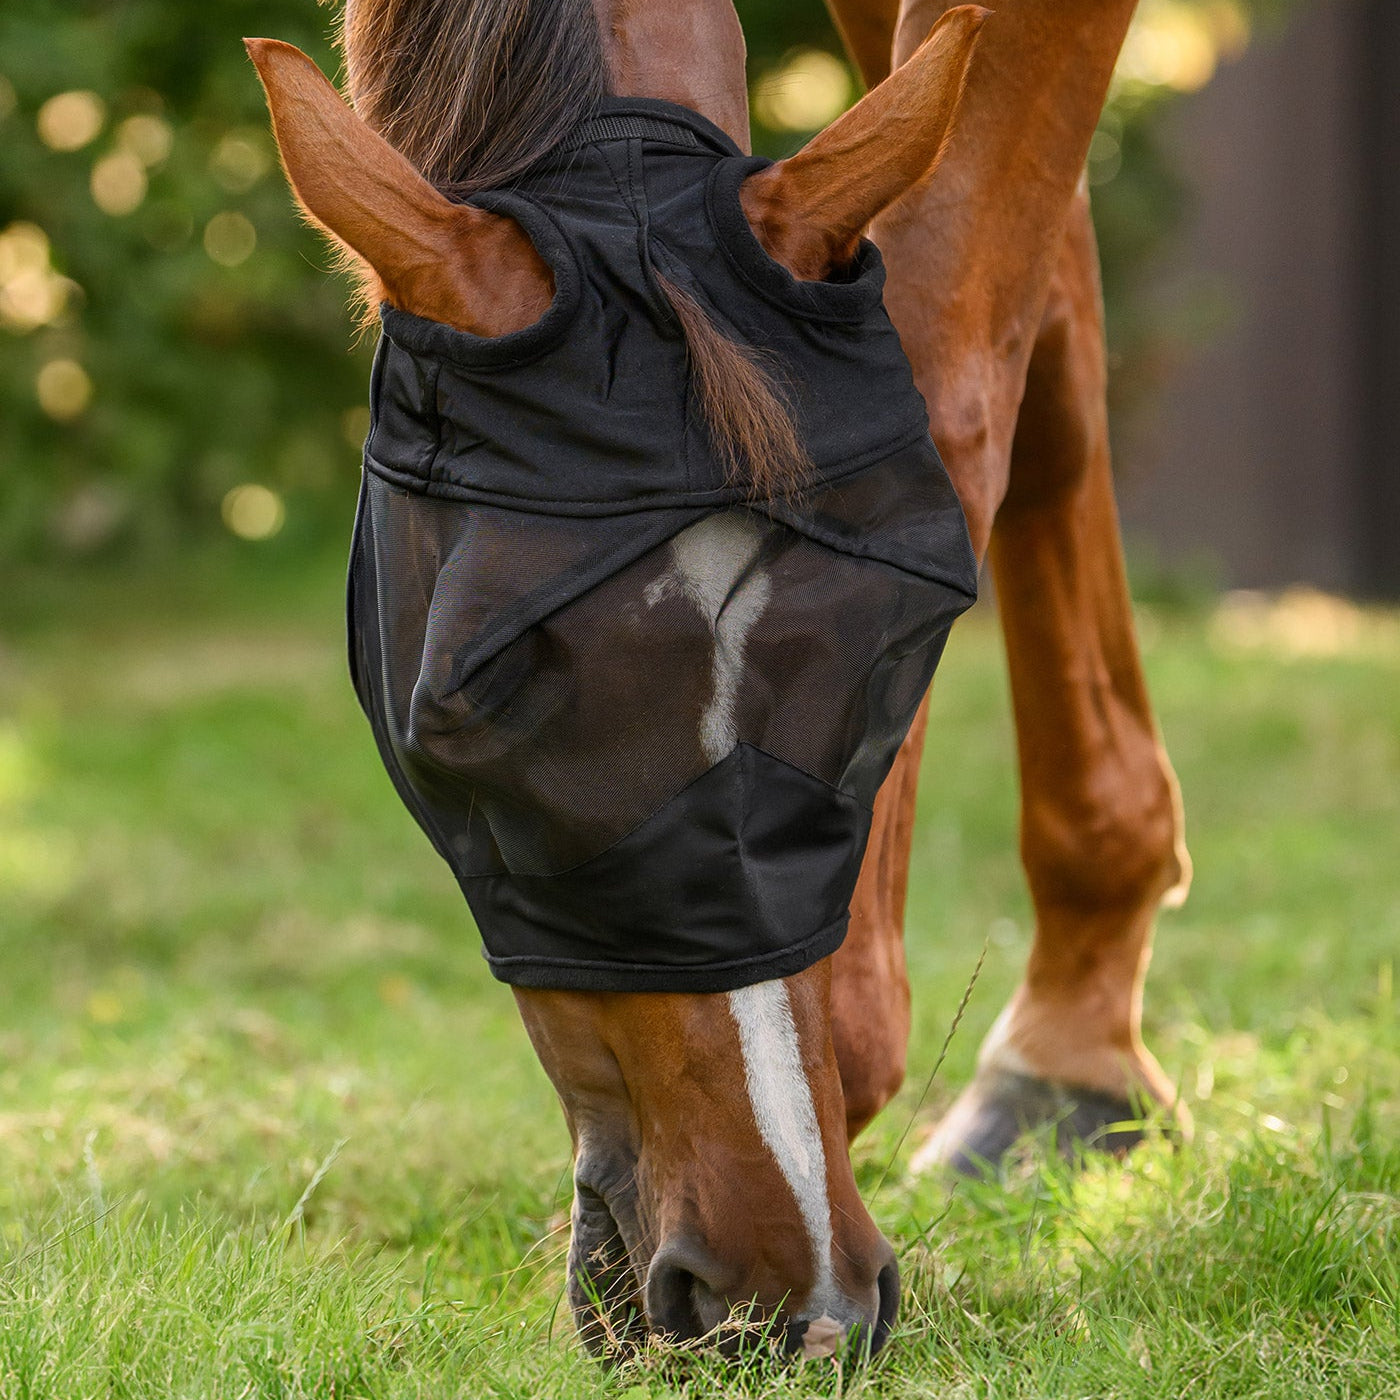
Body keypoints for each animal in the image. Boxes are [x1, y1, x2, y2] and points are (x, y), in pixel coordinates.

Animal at [247, 0, 1189, 1360]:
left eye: (893, 658)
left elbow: (965, 351)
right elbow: (1046, 318)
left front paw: (1044, 1043)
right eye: (472, 725)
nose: (775, 1297)